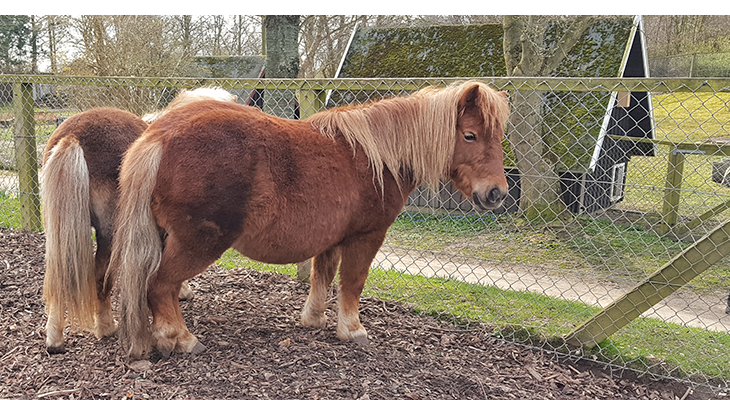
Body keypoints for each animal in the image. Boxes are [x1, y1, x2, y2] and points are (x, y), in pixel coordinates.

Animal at [40, 86, 236, 354]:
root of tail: (73, 136)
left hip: (58, 230)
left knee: (58, 278)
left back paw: (55, 338)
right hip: (111, 234)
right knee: (100, 277)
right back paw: (106, 327)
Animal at [111, 79, 510, 358]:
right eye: (470, 135)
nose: (496, 193)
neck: (376, 157)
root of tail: (160, 133)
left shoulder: (332, 237)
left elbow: (323, 274)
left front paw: (315, 319)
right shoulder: (366, 236)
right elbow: (352, 282)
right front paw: (352, 330)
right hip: (197, 243)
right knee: (159, 285)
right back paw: (180, 338)